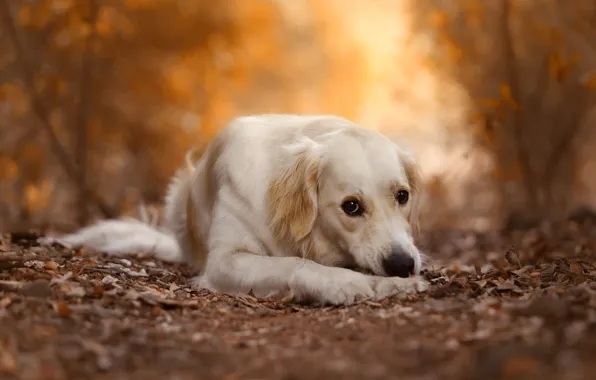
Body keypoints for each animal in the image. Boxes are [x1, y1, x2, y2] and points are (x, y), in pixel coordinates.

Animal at [43, 114, 434, 304]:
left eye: (402, 196)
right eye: (351, 206)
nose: (402, 264)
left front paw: (395, 284)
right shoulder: (226, 260)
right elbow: (294, 265)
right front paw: (350, 284)